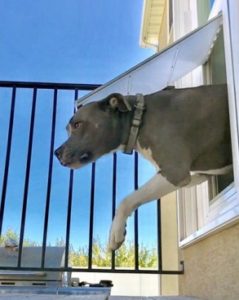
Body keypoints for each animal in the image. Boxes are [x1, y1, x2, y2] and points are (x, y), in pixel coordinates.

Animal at [54, 84, 232, 251]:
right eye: (68, 129)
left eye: (77, 125)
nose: (56, 152)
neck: (138, 120)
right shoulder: (193, 173)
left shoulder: (174, 171)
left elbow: (127, 199)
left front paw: (115, 232)